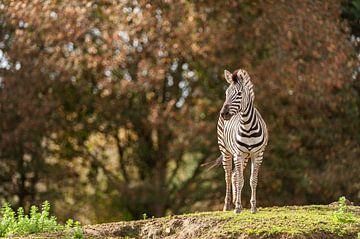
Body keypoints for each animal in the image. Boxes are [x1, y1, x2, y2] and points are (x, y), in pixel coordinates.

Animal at [217, 68, 268, 214]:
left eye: (239, 94)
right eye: (226, 93)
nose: (224, 113)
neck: (248, 127)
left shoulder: (257, 155)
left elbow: (253, 180)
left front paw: (253, 207)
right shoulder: (238, 154)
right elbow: (240, 180)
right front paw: (238, 208)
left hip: (244, 156)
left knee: (234, 175)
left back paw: (234, 202)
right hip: (226, 151)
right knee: (228, 175)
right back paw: (227, 205)